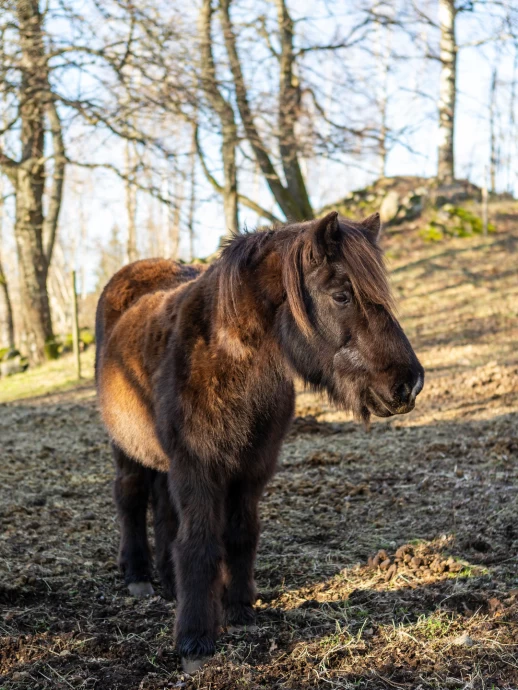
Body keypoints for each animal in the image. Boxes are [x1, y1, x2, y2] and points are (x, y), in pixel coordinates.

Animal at [95, 210, 424, 668]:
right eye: (341, 296)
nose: (410, 385)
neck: (228, 359)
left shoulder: (253, 467)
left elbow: (240, 533)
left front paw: (239, 610)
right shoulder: (198, 467)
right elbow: (199, 541)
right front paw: (195, 638)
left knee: (162, 507)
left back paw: (169, 582)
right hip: (126, 447)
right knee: (129, 496)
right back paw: (138, 576)